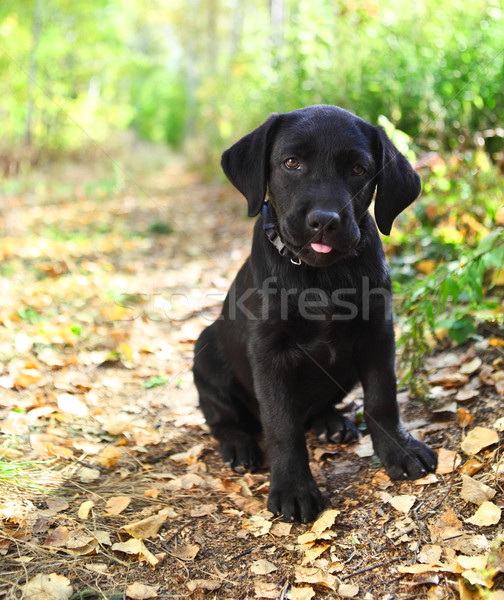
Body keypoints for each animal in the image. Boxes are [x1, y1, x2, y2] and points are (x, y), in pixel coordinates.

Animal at [193, 105, 438, 524]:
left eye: (358, 169)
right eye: (291, 163)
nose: (324, 220)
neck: (322, 276)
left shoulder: (378, 334)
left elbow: (383, 398)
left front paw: (399, 450)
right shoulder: (268, 352)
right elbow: (282, 426)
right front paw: (293, 488)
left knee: (314, 409)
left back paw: (331, 422)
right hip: (205, 351)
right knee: (223, 418)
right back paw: (239, 445)